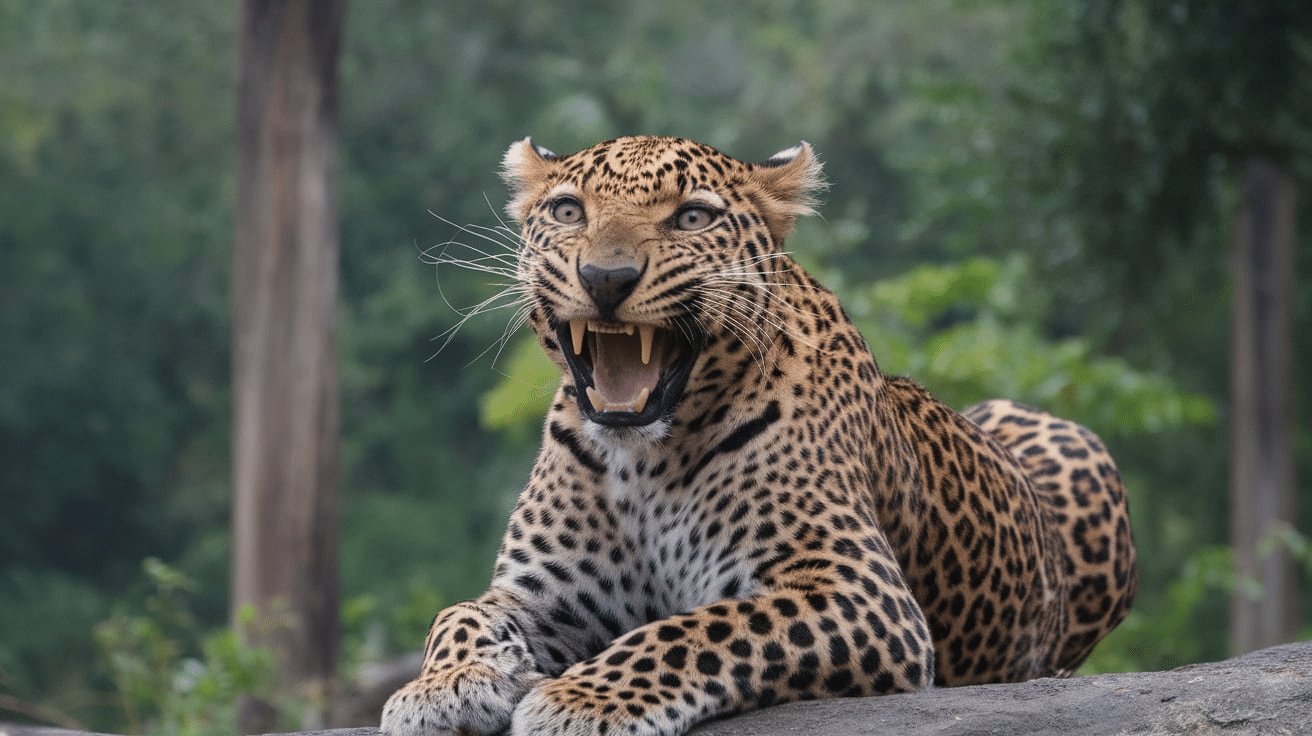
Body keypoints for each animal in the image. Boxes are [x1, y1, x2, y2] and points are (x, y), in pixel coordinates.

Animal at [381, 136, 1137, 736]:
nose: (605, 278)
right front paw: (441, 686)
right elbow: (458, 612)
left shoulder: (856, 588)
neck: (643, 459)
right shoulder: (546, 594)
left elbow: (695, 629)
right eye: (570, 211)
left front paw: (584, 698)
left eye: (691, 216)